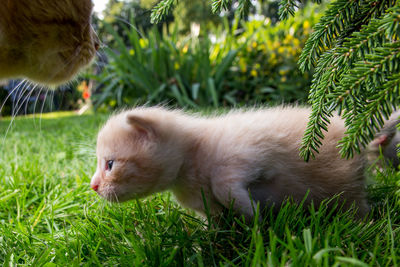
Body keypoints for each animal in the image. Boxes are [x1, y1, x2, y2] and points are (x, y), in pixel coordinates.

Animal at [90, 107, 368, 220]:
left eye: (110, 164)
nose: (93, 187)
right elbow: (215, 217)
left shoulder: (252, 151)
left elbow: (223, 186)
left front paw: (252, 214)